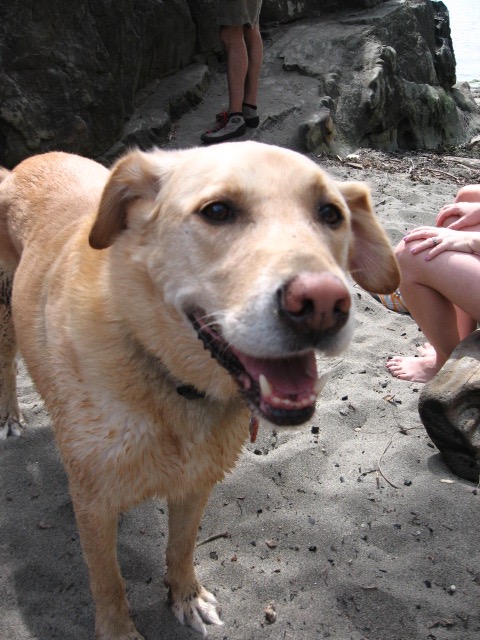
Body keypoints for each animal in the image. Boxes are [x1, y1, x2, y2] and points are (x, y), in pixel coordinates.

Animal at [0, 142, 399, 639]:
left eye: (331, 213)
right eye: (218, 211)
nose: (324, 303)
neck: (171, 382)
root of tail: (27, 162)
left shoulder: (197, 483)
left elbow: (182, 547)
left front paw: (186, 597)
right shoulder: (92, 503)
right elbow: (107, 580)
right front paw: (118, 629)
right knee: (5, 363)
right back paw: (10, 416)